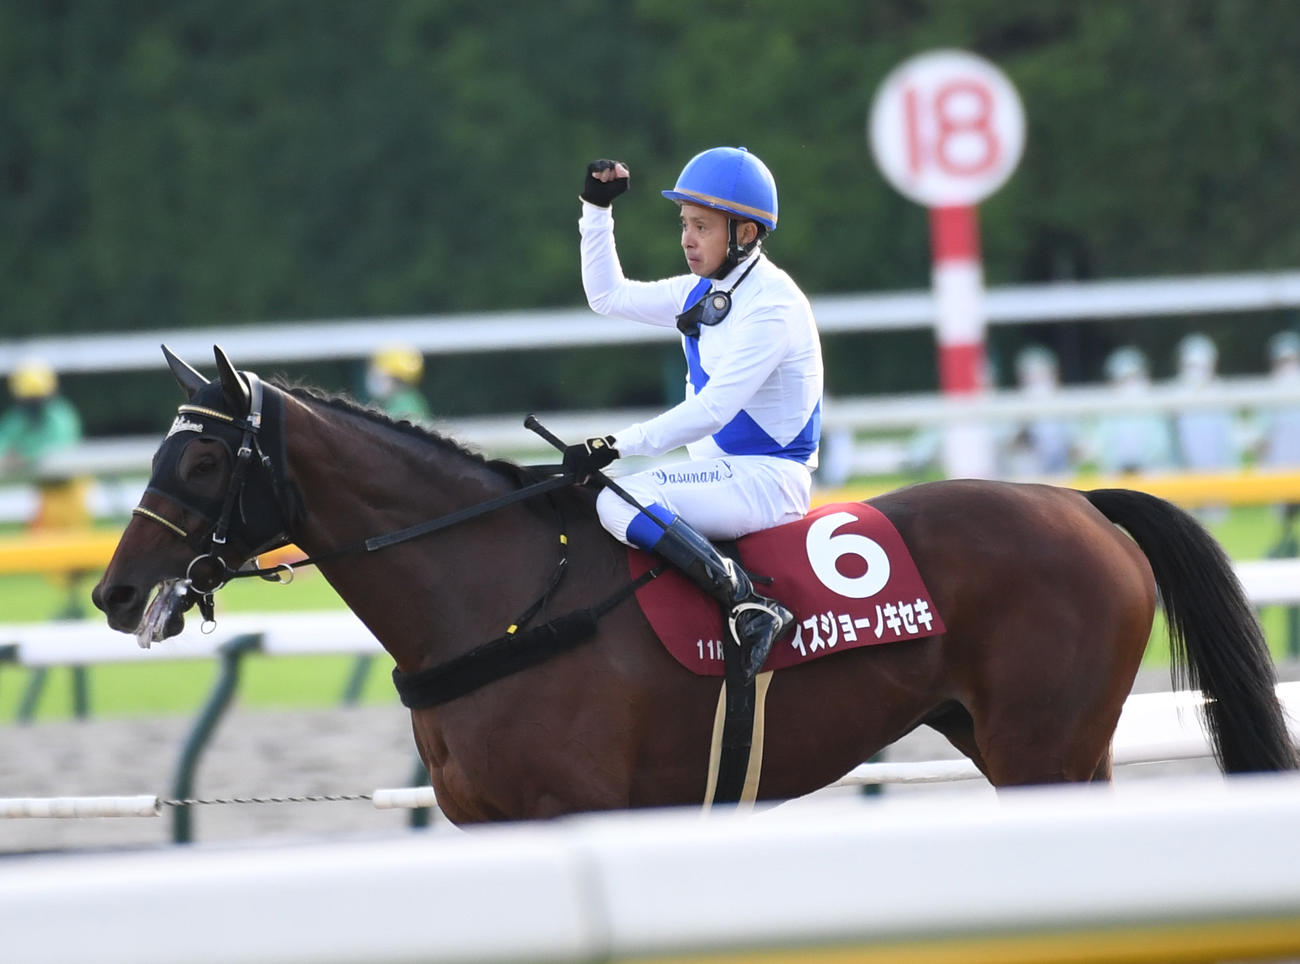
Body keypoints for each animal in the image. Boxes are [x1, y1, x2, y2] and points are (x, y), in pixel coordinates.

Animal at [93, 347, 1297, 822]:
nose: (112, 593)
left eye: (200, 464)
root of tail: (1082, 501)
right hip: (1034, 744)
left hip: (1043, 748)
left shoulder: (574, 809)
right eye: (157, 453)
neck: (500, 600)